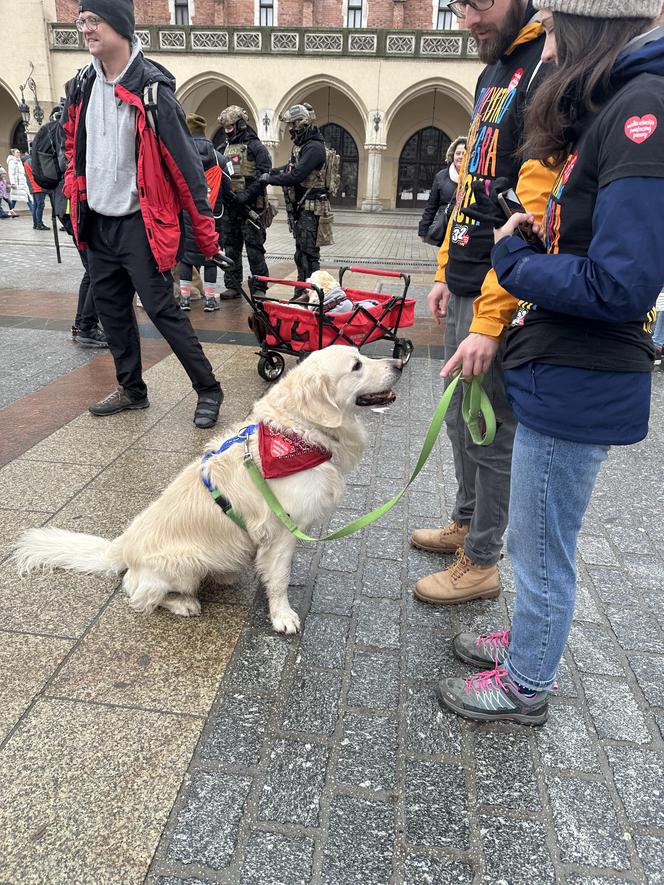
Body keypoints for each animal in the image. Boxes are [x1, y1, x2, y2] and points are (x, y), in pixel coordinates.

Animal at [13, 348, 402, 636]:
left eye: (362, 355)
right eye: (356, 365)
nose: (399, 363)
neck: (298, 432)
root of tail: (121, 547)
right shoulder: (281, 532)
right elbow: (279, 579)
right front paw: (282, 616)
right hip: (183, 563)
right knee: (135, 594)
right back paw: (183, 602)